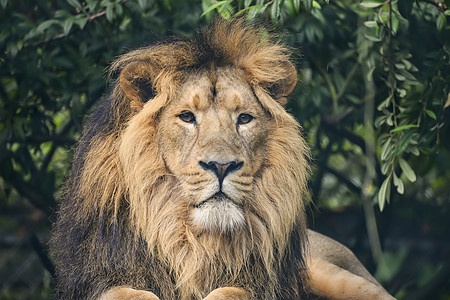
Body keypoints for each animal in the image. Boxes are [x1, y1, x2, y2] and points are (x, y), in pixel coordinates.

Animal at [49, 17, 394, 298]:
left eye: (244, 119)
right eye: (187, 117)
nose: (221, 165)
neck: (193, 243)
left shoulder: (260, 282)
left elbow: (229, 292)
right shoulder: (105, 276)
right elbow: (133, 294)